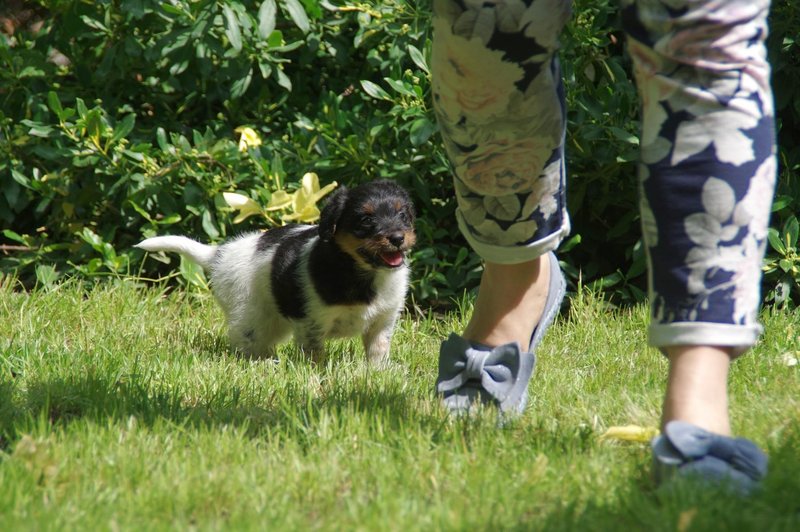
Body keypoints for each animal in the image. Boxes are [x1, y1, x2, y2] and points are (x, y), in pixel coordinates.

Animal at [138, 179, 416, 366]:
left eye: (403, 215)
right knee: (248, 342)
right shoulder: (311, 323)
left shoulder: (383, 322)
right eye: (366, 220)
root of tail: (220, 254)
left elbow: (377, 352)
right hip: (250, 316)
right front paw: (318, 376)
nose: (397, 238)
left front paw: (378, 374)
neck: (361, 271)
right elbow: (315, 355)